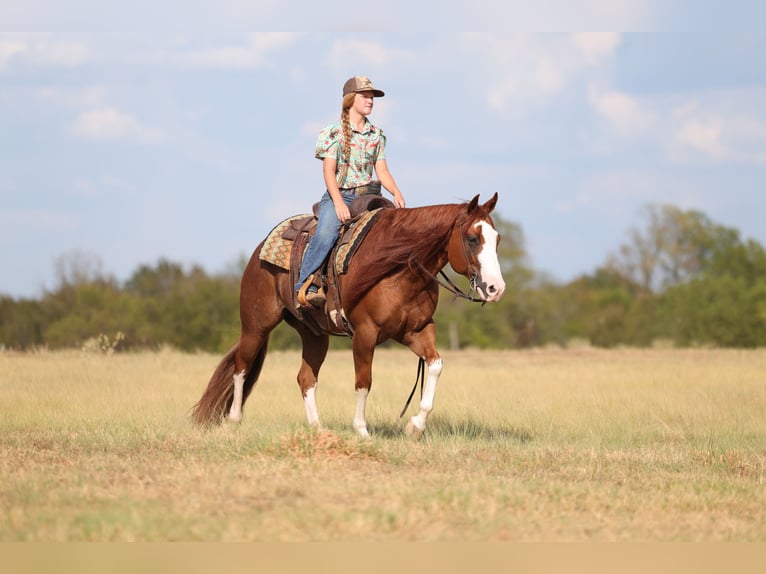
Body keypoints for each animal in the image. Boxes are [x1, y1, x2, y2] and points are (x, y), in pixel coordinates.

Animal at [191, 193, 505, 438]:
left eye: (498, 239)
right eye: (472, 239)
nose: (496, 288)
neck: (399, 267)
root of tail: (258, 250)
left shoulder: (416, 331)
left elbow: (436, 364)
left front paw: (415, 425)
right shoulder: (365, 333)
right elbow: (363, 381)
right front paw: (362, 430)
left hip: (314, 335)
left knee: (305, 378)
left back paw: (318, 429)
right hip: (256, 326)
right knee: (241, 368)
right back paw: (234, 421)